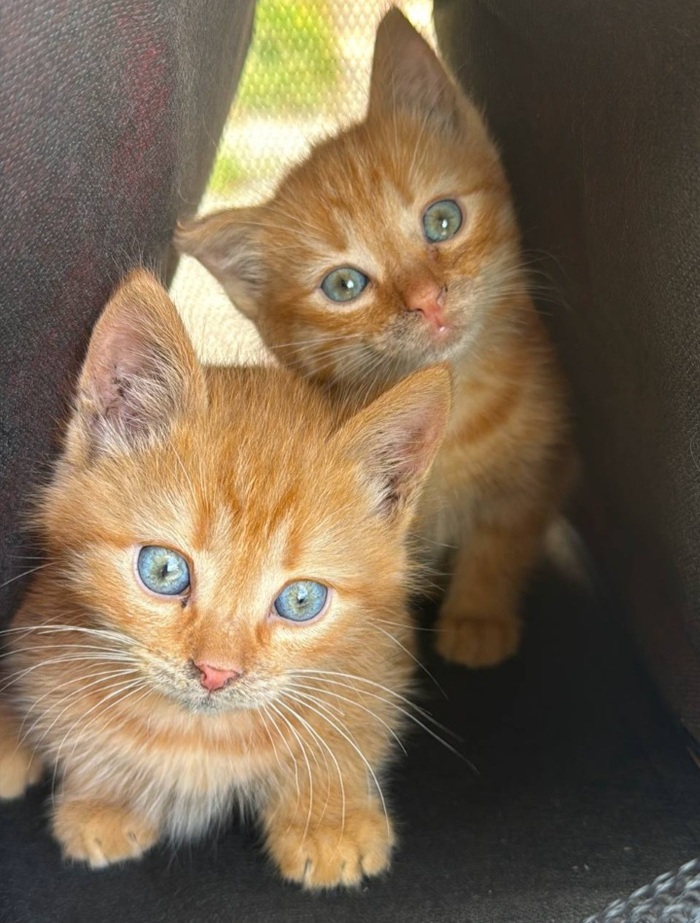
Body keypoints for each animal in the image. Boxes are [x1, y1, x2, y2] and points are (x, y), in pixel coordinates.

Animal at [0, 269, 450, 889]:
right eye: (164, 571)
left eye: (301, 600)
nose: (216, 673)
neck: (200, 738)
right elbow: (67, 716)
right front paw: (105, 799)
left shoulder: (377, 656)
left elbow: (350, 729)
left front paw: (326, 818)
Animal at [175, 7, 573, 669]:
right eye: (344, 285)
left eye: (442, 219)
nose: (427, 299)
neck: (454, 413)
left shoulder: (533, 471)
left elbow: (499, 544)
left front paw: (478, 616)